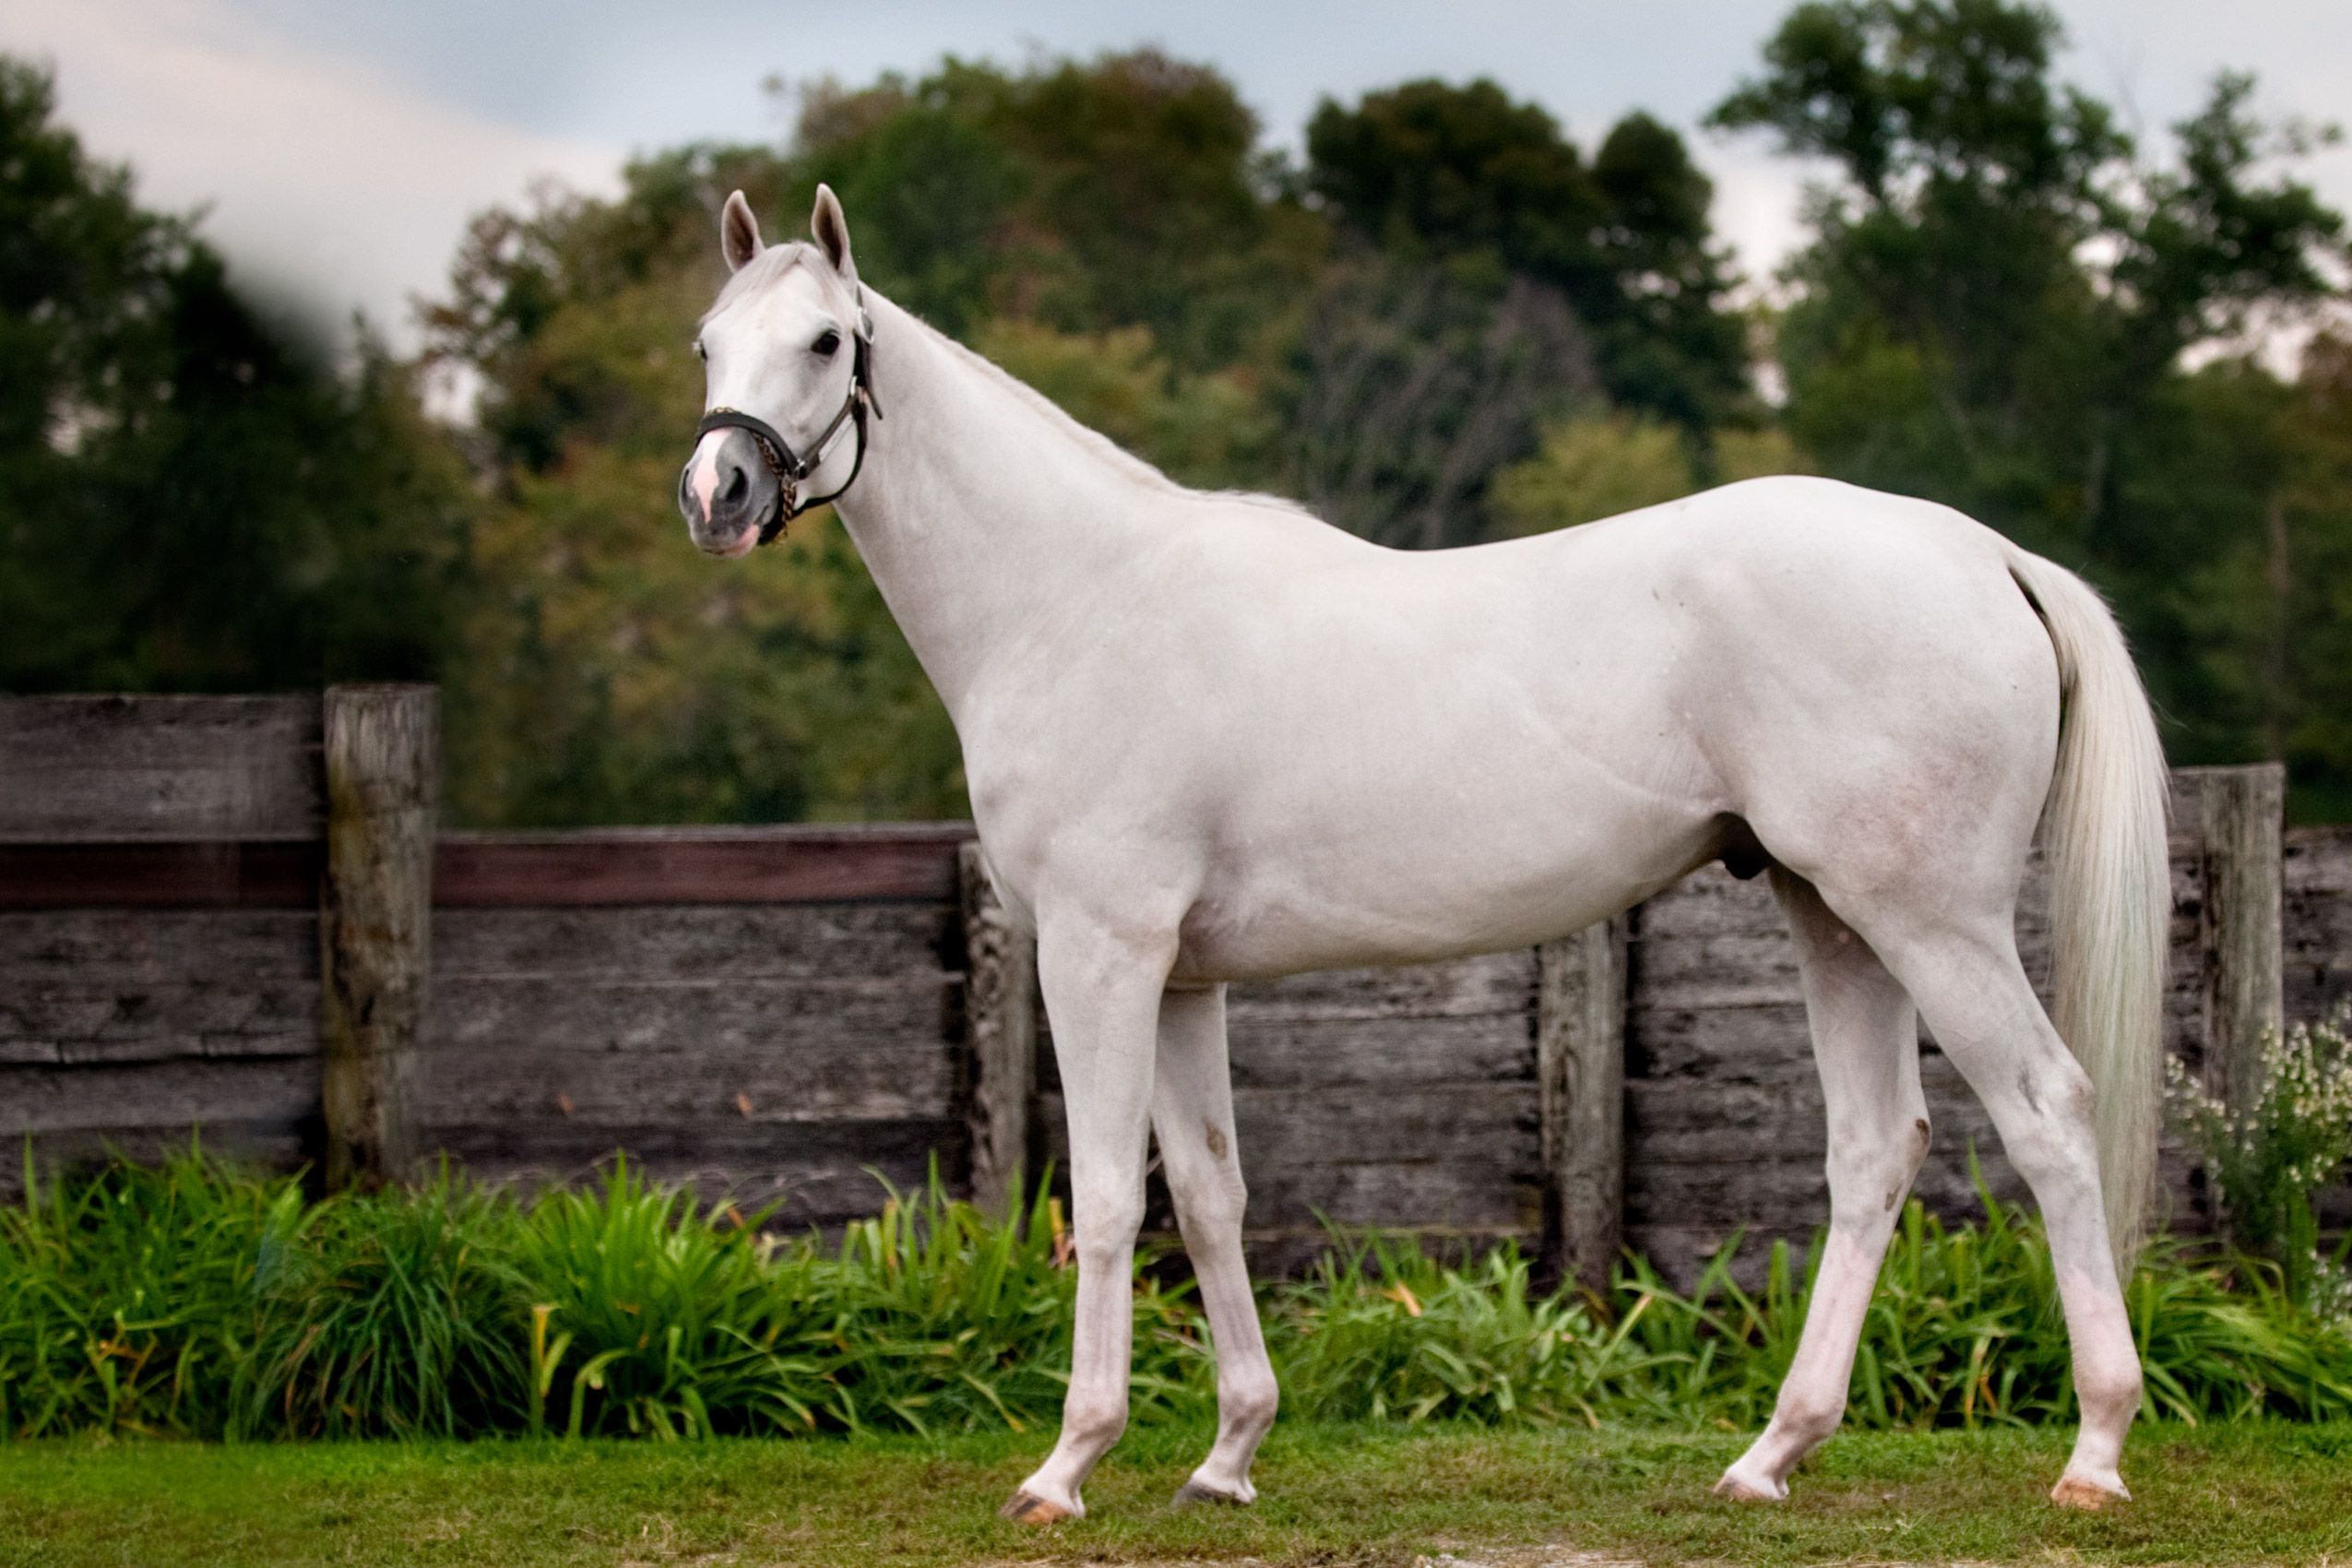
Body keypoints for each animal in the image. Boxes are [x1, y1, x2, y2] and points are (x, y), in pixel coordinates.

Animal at [678, 185, 2169, 1521]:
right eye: (705, 342)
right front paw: (1227, 1454)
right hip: (1836, 916)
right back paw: (1769, 1456)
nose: (717, 492)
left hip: (1933, 923)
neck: (1076, 600)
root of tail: (1983, 553)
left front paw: (1065, 1467)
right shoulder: (1183, 979)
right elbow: (1209, 1194)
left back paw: (2094, 1454)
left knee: (2045, 1113)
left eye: (826, 341)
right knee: (1872, 1149)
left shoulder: (1101, 955)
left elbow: (1104, 1198)